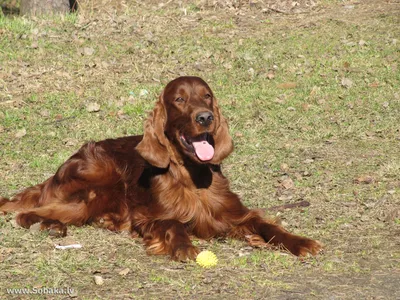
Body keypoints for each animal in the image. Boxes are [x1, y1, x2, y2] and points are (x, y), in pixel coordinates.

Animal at [0, 75, 322, 260]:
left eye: (207, 96)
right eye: (179, 99)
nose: (205, 117)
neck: (193, 177)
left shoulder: (234, 214)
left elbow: (267, 224)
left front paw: (300, 242)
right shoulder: (147, 217)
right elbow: (173, 223)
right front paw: (183, 247)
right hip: (100, 185)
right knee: (28, 213)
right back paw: (52, 226)